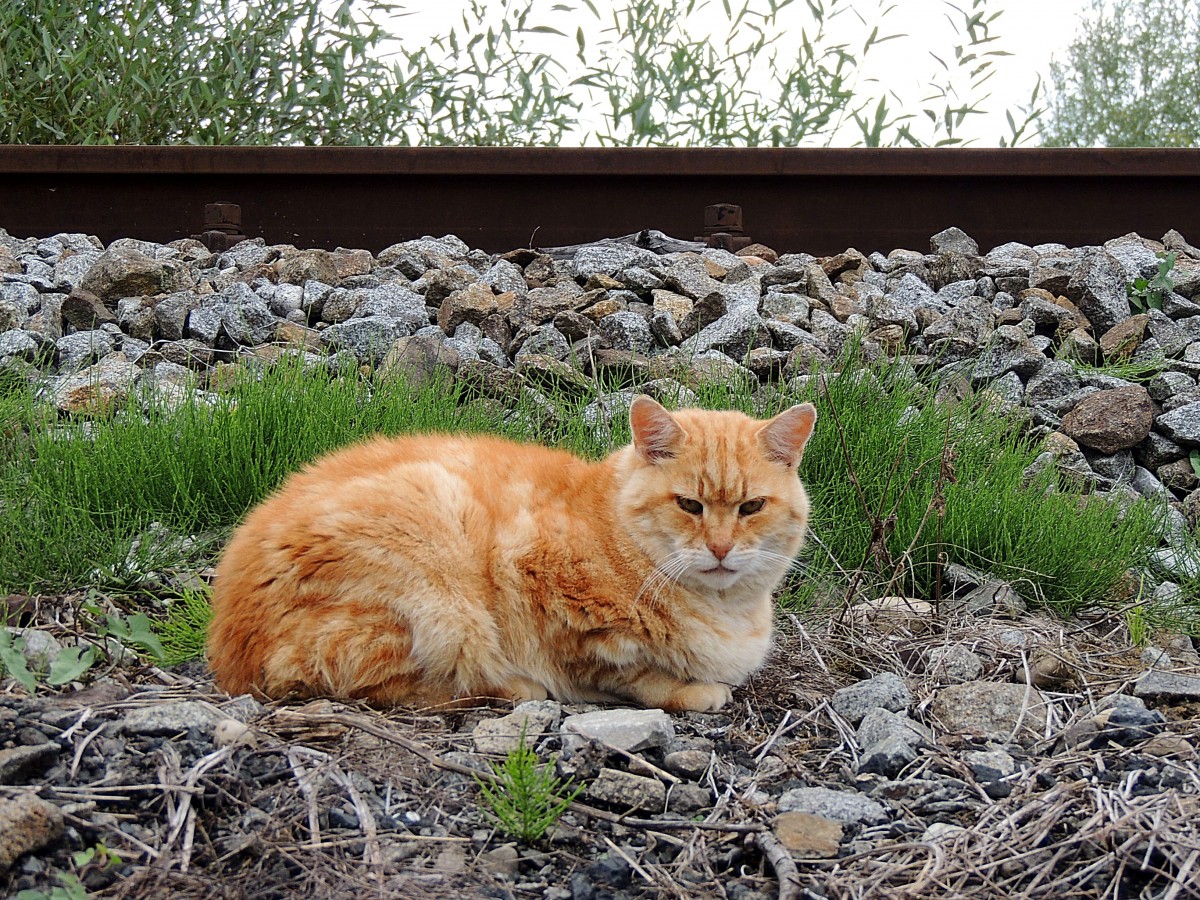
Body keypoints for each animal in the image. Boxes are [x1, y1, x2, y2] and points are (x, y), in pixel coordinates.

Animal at [211, 398, 820, 715]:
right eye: (689, 505)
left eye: (751, 507)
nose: (720, 547)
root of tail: (226, 648)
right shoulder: (551, 599)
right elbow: (634, 671)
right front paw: (694, 689)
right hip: (438, 593)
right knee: (396, 683)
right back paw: (515, 687)